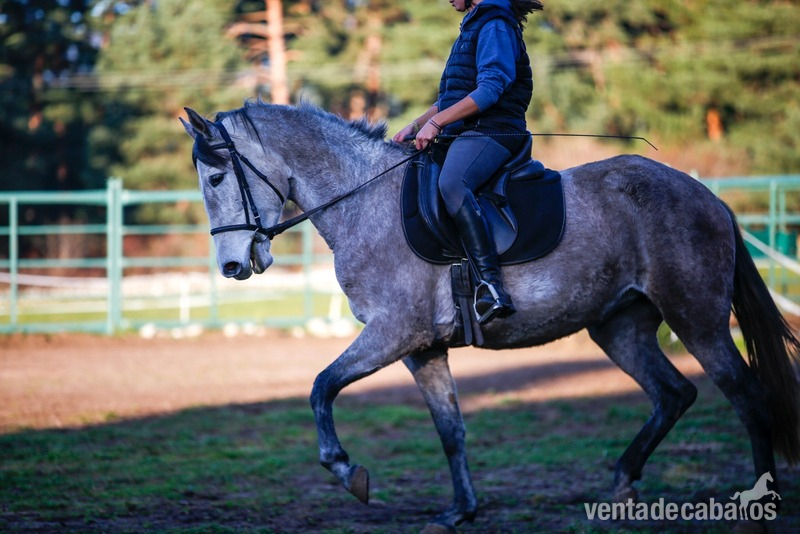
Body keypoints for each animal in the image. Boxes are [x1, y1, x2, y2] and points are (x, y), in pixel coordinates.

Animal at [181, 100, 800, 532]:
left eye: (216, 178)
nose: (233, 266)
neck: (364, 201)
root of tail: (707, 196)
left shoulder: (392, 333)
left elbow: (320, 386)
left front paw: (345, 469)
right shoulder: (421, 348)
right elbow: (450, 429)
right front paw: (460, 511)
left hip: (696, 318)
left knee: (745, 396)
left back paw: (760, 501)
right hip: (619, 325)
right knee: (673, 393)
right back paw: (623, 483)